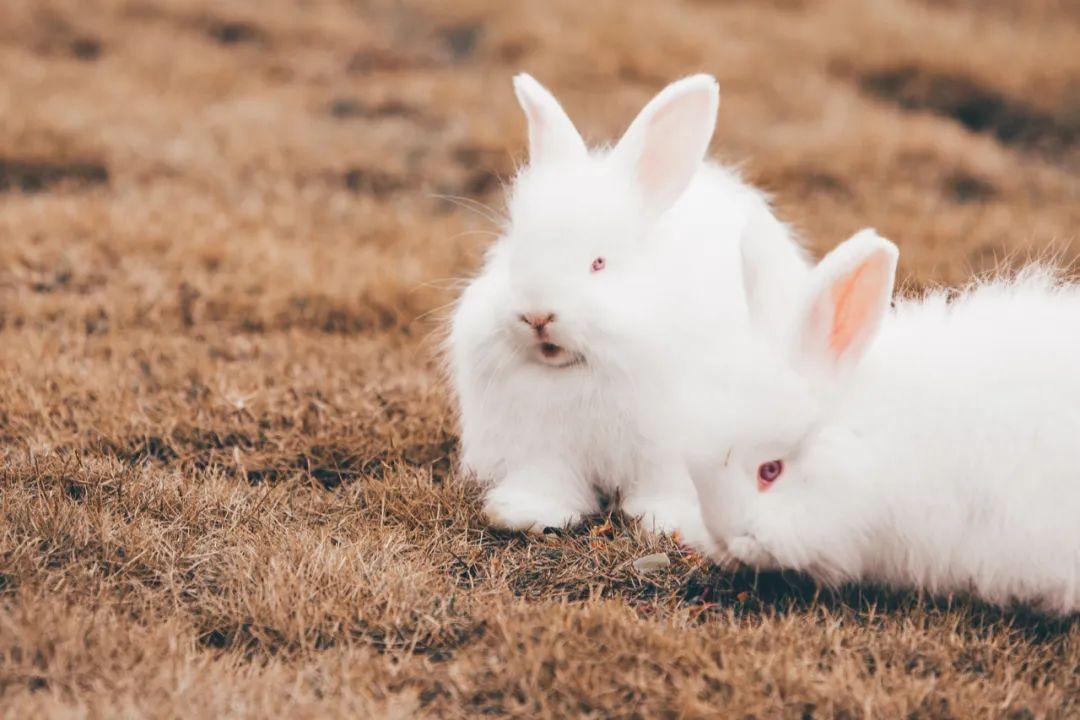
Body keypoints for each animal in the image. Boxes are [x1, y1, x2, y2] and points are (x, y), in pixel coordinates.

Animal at [447, 74, 812, 546]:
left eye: (599, 264)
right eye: (513, 257)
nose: (537, 315)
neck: (585, 368)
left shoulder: (670, 446)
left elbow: (669, 486)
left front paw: (670, 521)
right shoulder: (540, 448)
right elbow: (546, 483)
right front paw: (525, 513)